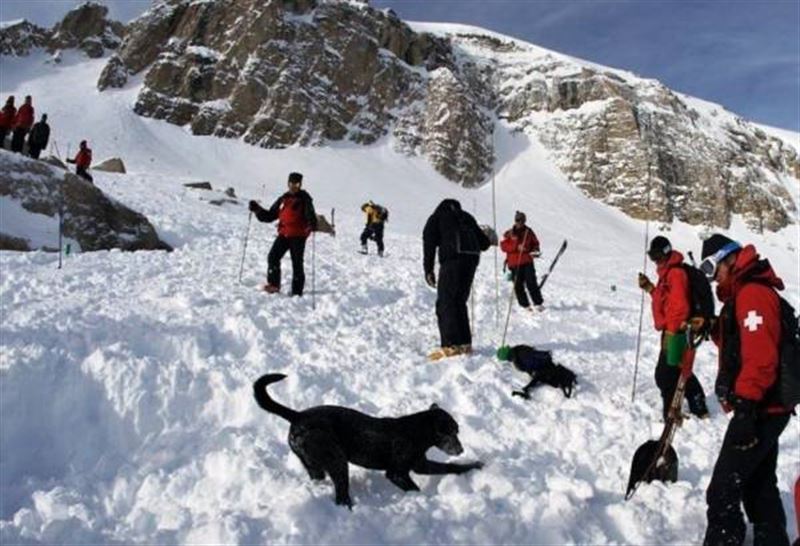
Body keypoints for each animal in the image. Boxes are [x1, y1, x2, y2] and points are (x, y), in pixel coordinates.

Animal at [255, 374, 482, 506]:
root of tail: (297, 416)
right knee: (341, 495)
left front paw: (474, 465)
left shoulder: (420, 465)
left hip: (314, 465)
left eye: (458, 431)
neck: (416, 431)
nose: (461, 450)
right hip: (337, 461)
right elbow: (414, 488)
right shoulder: (396, 473)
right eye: (450, 432)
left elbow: (451, 467)